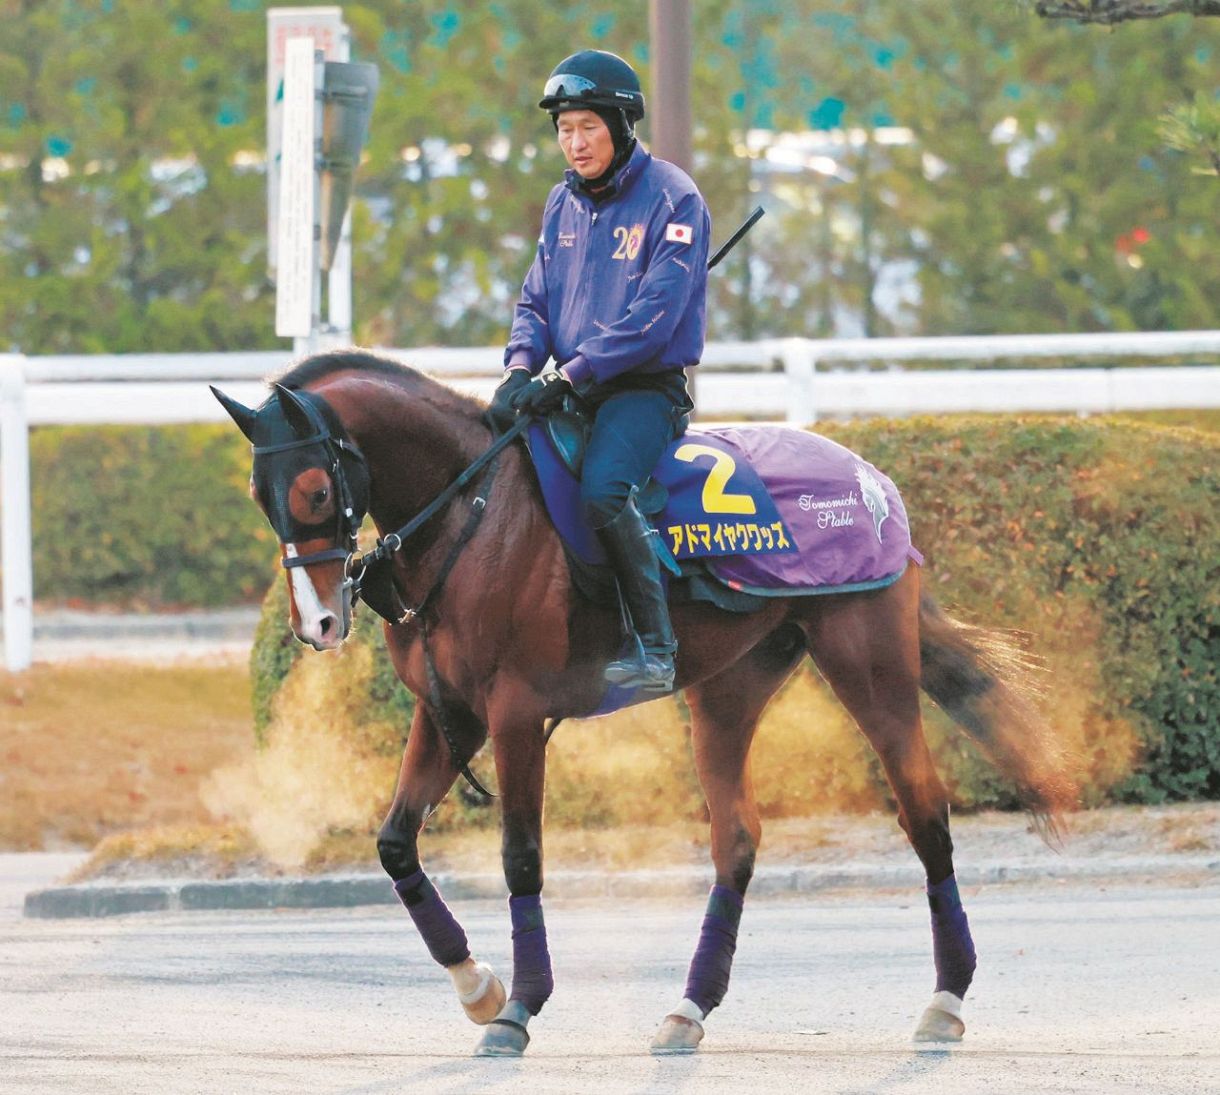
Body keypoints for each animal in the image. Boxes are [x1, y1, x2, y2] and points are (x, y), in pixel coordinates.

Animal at [212, 349, 1073, 1057]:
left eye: (314, 488)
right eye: (258, 493)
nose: (317, 623)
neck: (472, 511)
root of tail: (873, 483)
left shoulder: (515, 713)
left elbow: (521, 854)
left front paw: (518, 1006)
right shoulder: (448, 711)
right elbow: (394, 843)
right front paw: (477, 983)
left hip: (870, 662)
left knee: (924, 809)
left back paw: (945, 1000)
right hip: (729, 688)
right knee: (737, 837)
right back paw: (689, 1008)